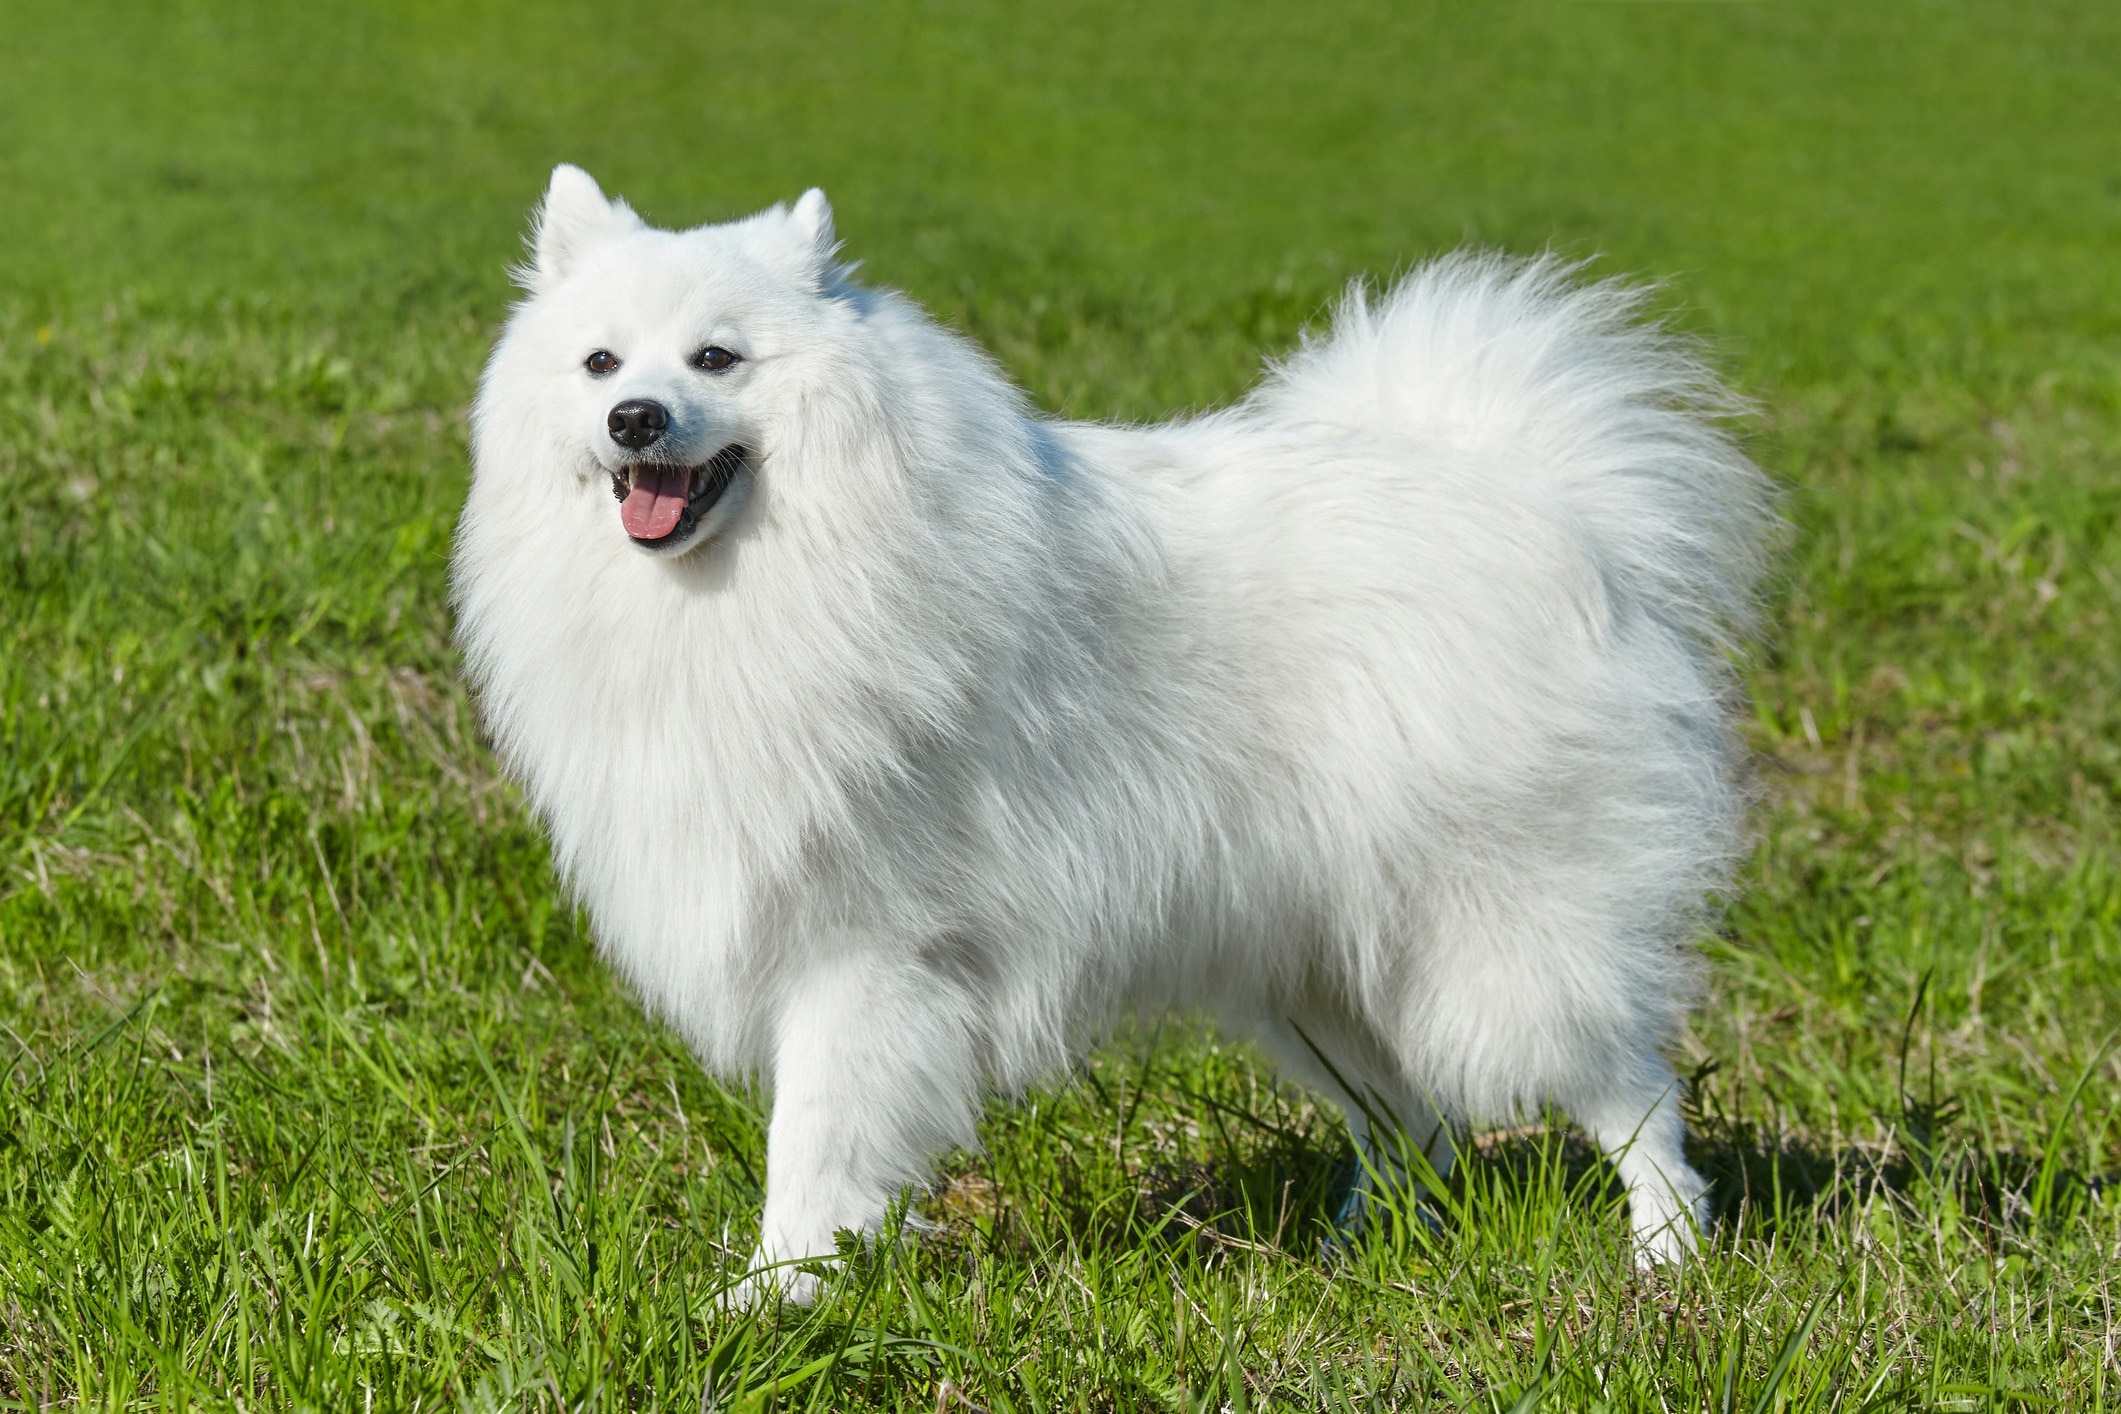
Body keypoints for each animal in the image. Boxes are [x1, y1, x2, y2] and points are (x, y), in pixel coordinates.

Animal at [451, 166, 1773, 1305]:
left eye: (716, 357)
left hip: (1499, 932)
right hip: (1325, 969)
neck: (755, 587)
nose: (634, 417)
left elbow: (813, 1143)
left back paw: (1667, 1257)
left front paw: (774, 1298)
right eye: (599, 361)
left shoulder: (864, 952)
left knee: (1629, 1091)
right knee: (1415, 1122)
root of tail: (1539, 495)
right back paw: (1358, 1251)